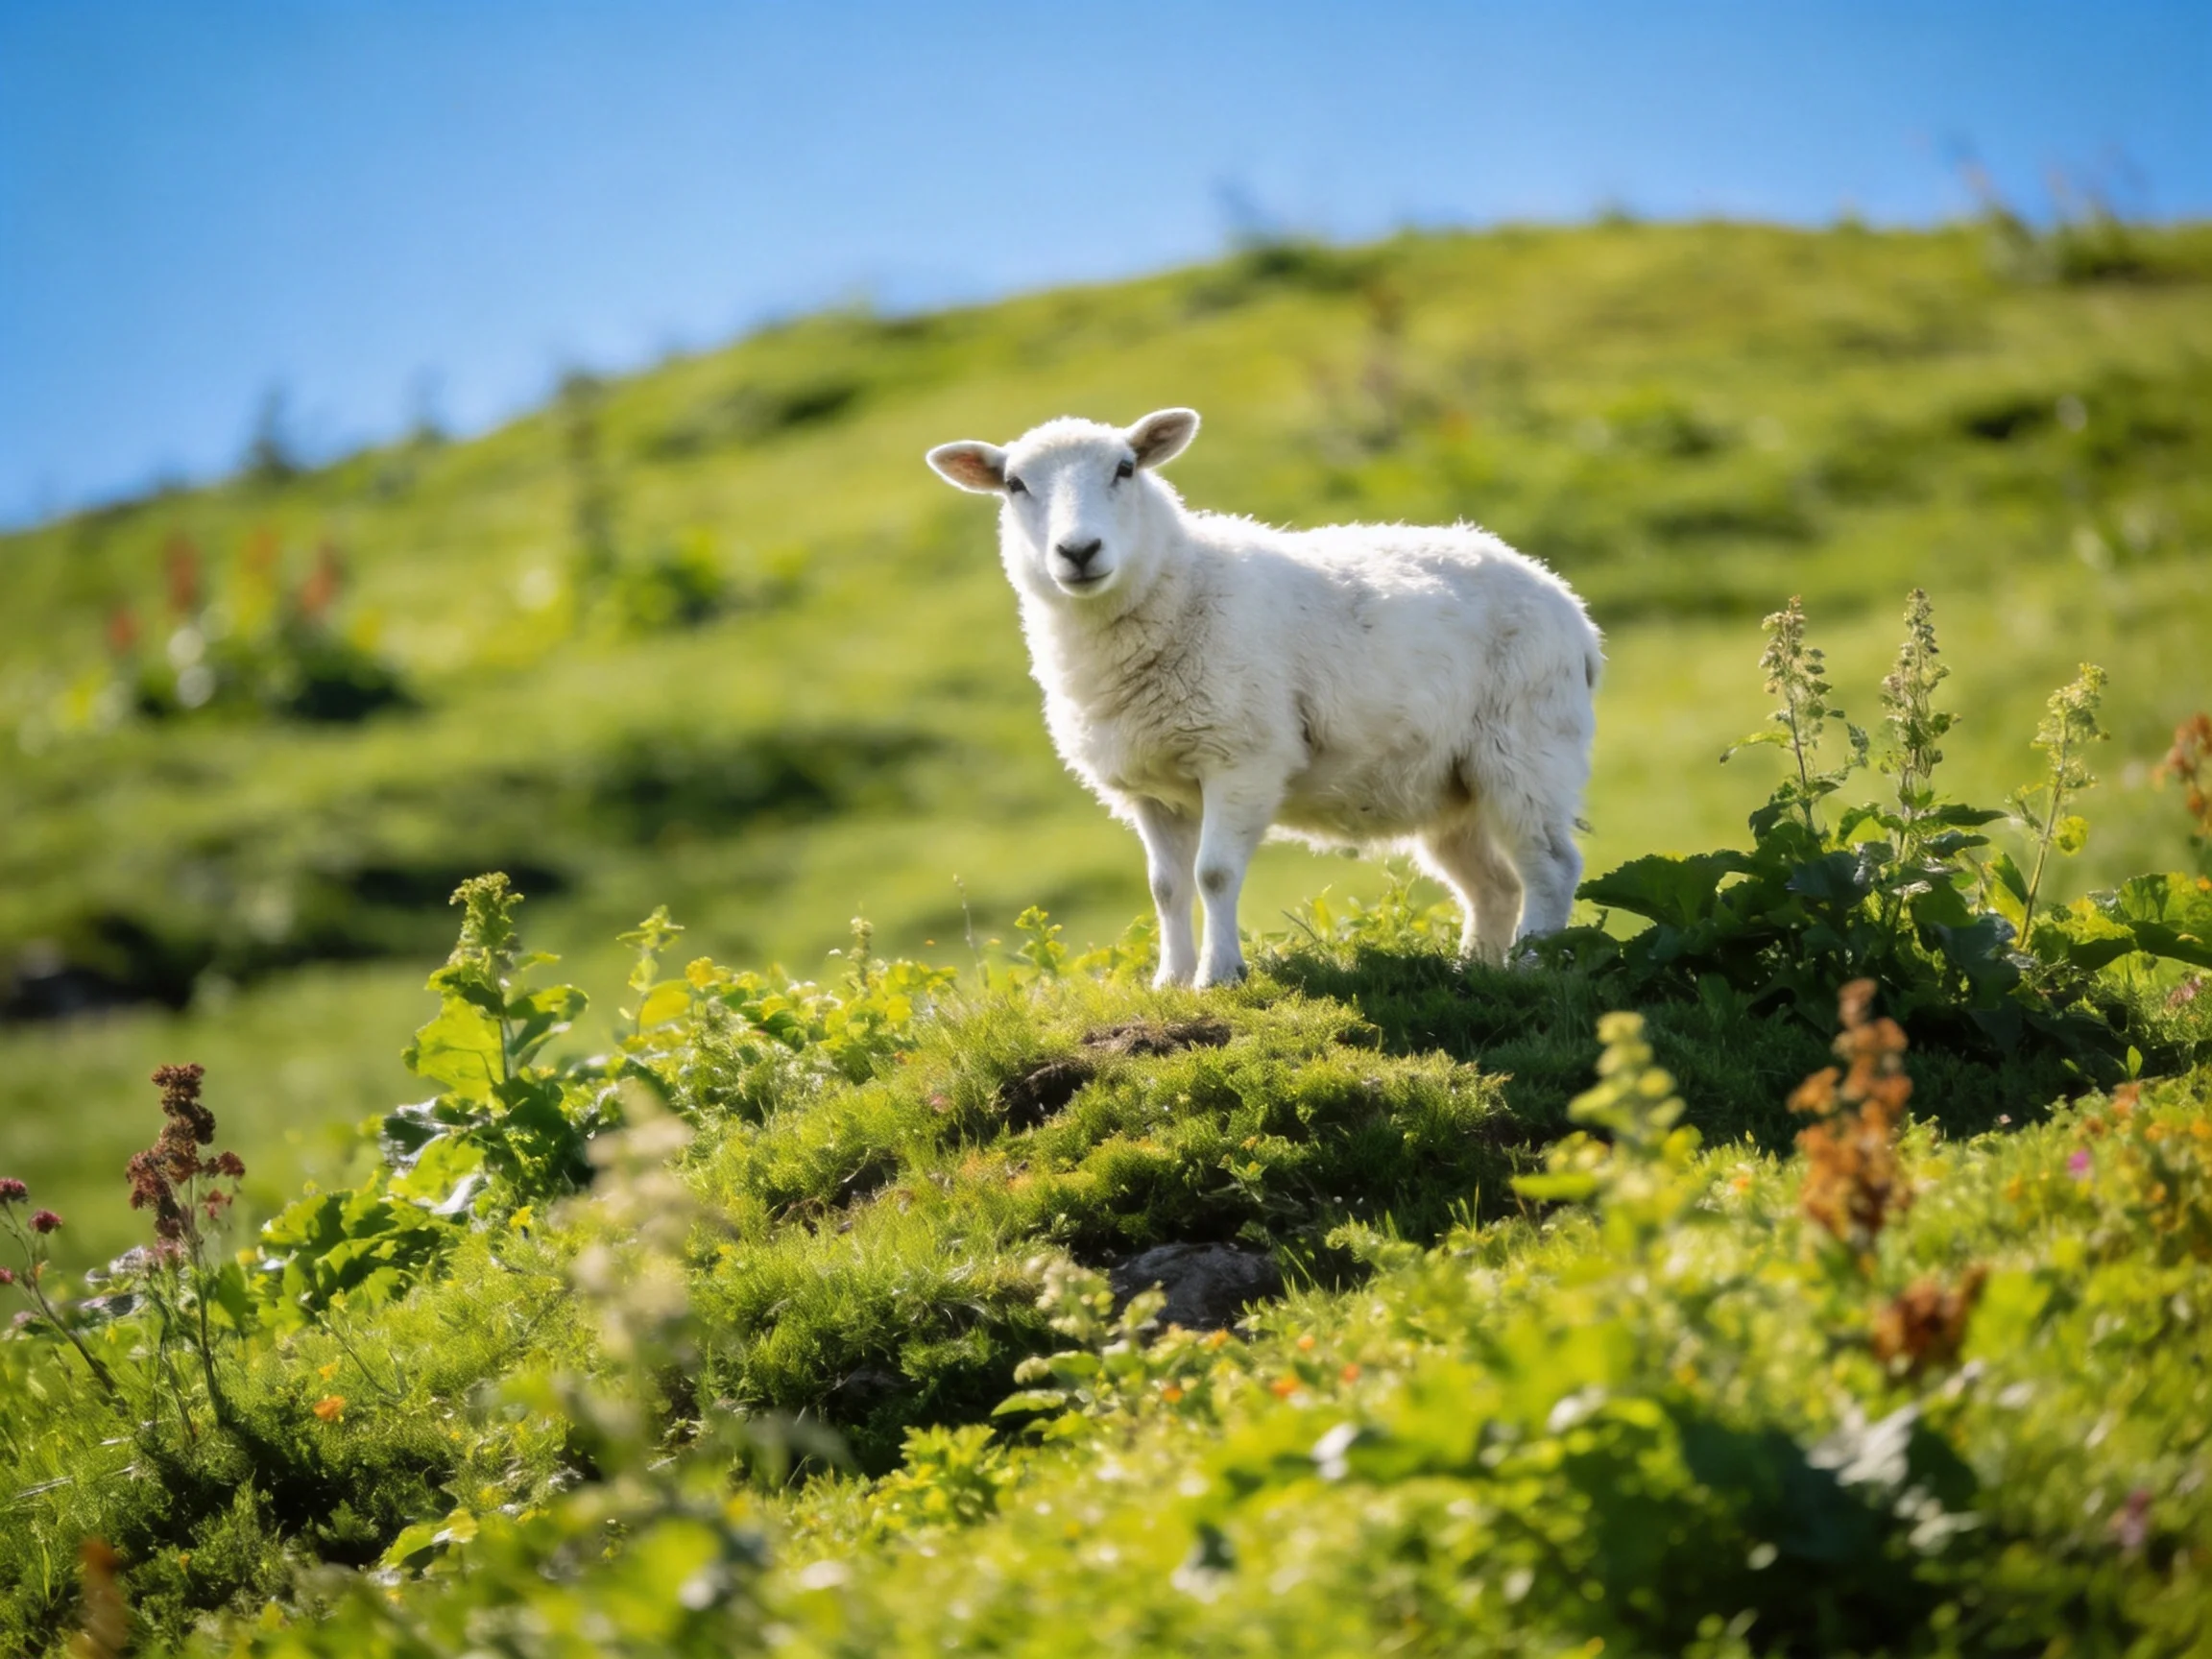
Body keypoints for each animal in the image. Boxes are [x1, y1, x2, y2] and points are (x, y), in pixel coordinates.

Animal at [926, 408, 1603, 988]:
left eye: (1126, 468)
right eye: (1015, 484)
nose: (1079, 552)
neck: (1182, 586)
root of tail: (1568, 602)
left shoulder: (1241, 756)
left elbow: (1214, 874)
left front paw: (1218, 976)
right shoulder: (1151, 787)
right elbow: (1165, 887)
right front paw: (1169, 981)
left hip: (1527, 746)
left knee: (1549, 865)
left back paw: (1531, 967)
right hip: (1448, 787)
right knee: (1494, 886)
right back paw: (1476, 971)